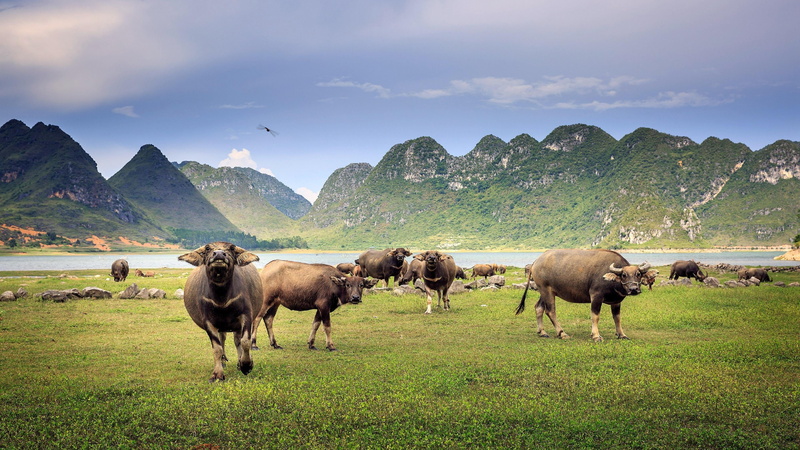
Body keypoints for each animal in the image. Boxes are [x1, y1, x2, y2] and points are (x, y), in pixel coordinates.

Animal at [180, 242, 262, 382]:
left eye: (232, 248)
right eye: (207, 248)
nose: (218, 254)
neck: (221, 298)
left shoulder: (246, 316)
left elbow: (245, 342)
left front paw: (246, 365)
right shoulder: (208, 322)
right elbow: (217, 348)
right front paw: (217, 374)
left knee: (237, 340)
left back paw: (239, 362)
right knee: (222, 339)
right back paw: (223, 361)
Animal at [516, 249, 650, 342]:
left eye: (638, 274)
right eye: (624, 275)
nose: (634, 289)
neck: (611, 280)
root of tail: (536, 261)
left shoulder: (617, 301)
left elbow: (617, 318)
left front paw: (621, 334)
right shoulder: (596, 296)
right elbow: (595, 316)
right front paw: (596, 336)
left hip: (544, 292)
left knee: (538, 307)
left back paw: (542, 332)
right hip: (546, 291)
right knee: (550, 311)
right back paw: (562, 333)